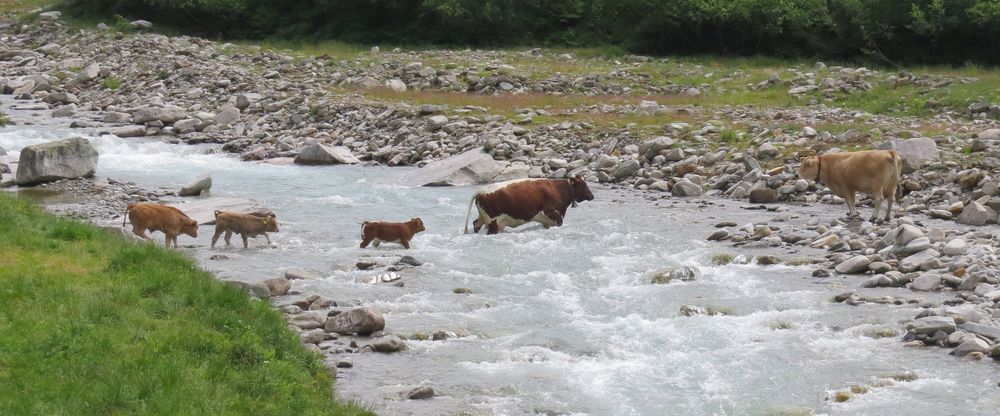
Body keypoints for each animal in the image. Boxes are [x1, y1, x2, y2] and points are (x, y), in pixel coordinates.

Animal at [462, 176, 592, 234]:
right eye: (584, 184)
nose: (592, 196)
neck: (559, 190)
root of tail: (482, 189)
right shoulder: (551, 211)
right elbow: (559, 221)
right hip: (493, 222)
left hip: (484, 218)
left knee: (476, 223)